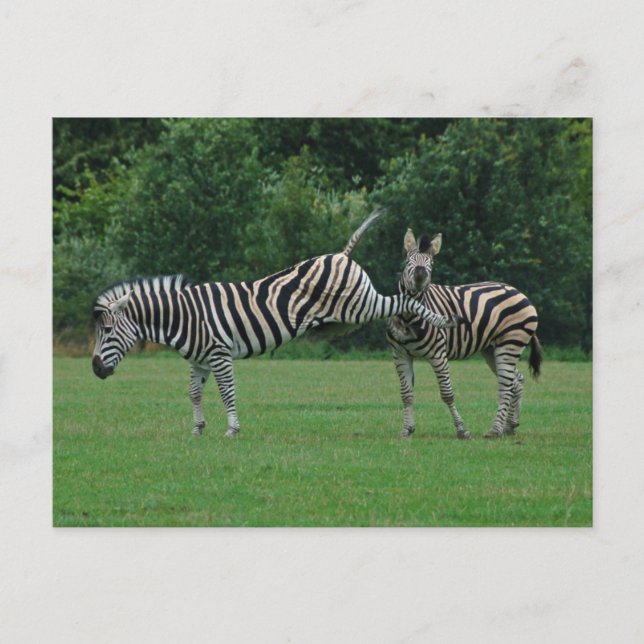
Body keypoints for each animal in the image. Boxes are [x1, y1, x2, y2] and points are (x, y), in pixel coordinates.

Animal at [91, 209, 462, 437]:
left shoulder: (219, 354)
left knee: (404, 301)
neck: (185, 315)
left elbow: (227, 391)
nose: (95, 369)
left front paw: (232, 429)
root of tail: (342, 254)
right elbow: (194, 393)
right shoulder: (198, 359)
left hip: (359, 306)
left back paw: (442, 318)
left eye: (107, 331)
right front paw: (197, 429)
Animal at [386, 228, 542, 439]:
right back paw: (509, 426)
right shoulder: (400, 355)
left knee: (505, 386)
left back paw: (494, 430)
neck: (409, 316)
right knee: (516, 381)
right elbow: (406, 394)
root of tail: (517, 291)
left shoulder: (438, 354)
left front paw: (462, 430)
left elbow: (447, 393)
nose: (420, 275)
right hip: (491, 349)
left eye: (431, 263)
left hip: (510, 343)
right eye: (408, 261)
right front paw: (407, 430)